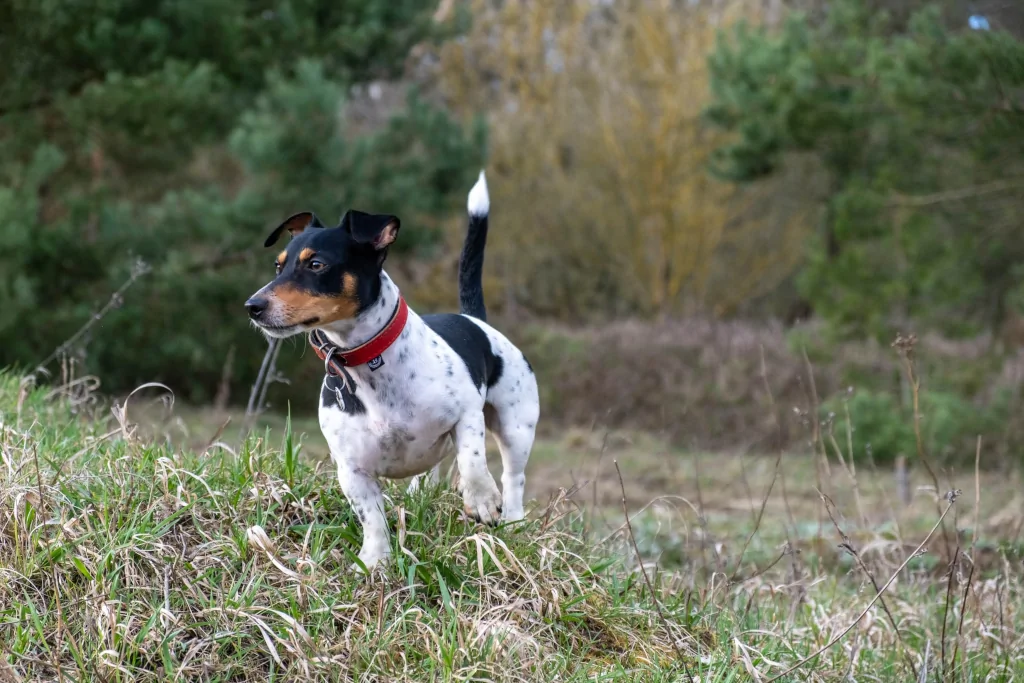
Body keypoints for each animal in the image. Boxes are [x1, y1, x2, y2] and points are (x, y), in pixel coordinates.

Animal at [244, 172, 540, 573]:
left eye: (316, 264)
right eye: (279, 266)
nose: (253, 306)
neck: (371, 366)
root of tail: (475, 319)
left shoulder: (466, 415)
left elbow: (474, 461)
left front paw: (481, 499)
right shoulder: (352, 469)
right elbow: (372, 517)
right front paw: (375, 560)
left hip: (516, 425)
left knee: (513, 476)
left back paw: (511, 518)